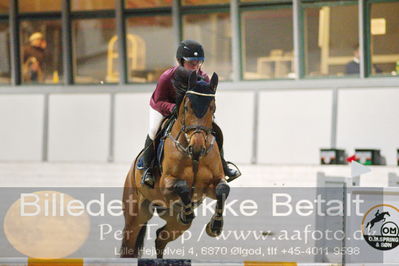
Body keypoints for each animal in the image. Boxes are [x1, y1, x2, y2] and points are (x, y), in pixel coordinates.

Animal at [120, 68, 230, 258]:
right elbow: (182, 186)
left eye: (212, 107)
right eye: (187, 107)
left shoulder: (212, 183)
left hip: (173, 221)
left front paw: (215, 226)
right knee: (129, 243)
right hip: (134, 215)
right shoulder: (166, 184)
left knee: (160, 237)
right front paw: (187, 213)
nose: (197, 147)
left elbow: (223, 189)